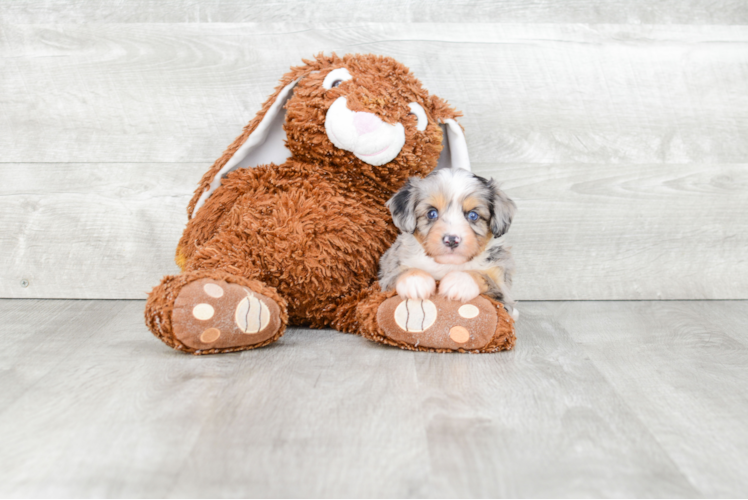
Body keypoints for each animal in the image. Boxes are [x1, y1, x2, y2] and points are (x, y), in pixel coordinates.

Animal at [380, 166, 520, 318]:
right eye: (431, 213)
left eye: (473, 215)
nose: (451, 240)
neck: (448, 264)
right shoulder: (387, 274)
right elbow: (401, 272)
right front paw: (415, 279)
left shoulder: (503, 292)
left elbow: (483, 277)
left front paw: (460, 280)